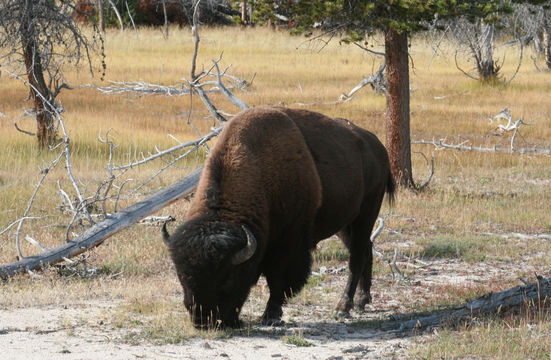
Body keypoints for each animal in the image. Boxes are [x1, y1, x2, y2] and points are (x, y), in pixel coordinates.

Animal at [162, 105, 394, 328]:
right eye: (182, 276)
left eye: (227, 278)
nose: (202, 321)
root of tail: (378, 147)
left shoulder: (288, 244)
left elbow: (278, 278)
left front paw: (270, 314)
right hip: (345, 225)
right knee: (366, 249)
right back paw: (362, 301)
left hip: (366, 213)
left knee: (357, 256)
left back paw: (343, 307)